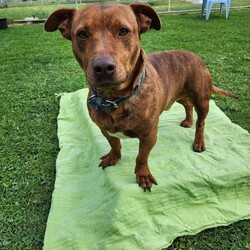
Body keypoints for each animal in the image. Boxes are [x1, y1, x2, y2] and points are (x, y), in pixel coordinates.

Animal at [44, 2, 235, 191]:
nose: (103, 67)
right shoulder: (105, 130)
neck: (114, 99)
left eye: (123, 31)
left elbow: (141, 157)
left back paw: (199, 141)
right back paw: (188, 120)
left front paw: (142, 175)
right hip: (178, 95)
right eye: (82, 34)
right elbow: (115, 144)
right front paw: (113, 157)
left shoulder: (149, 136)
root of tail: (195, 56)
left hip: (201, 99)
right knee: (187, 105)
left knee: (201, 122)